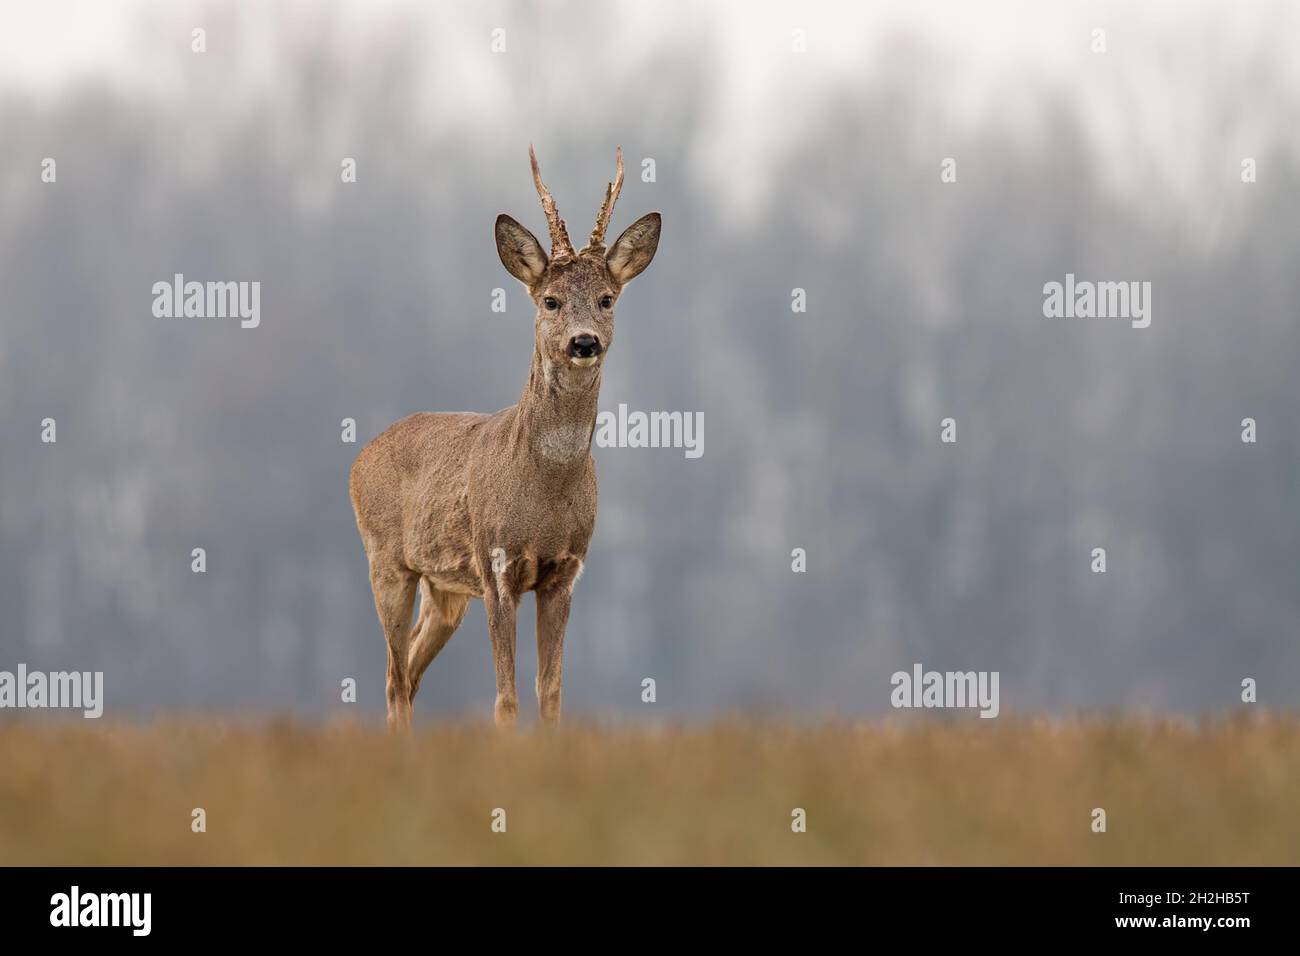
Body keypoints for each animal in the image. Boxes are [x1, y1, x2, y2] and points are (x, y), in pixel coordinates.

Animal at [349, 147, 661, 729]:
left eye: (607, 298)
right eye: (551, 301)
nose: (584, 342)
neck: (545, 491)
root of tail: (361, 456)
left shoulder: (566, 570)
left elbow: (550, 689)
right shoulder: (495, 564)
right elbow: (506, 695)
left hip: (445, 588)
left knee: (410, 671)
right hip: (387, 561)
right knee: (395, 676)